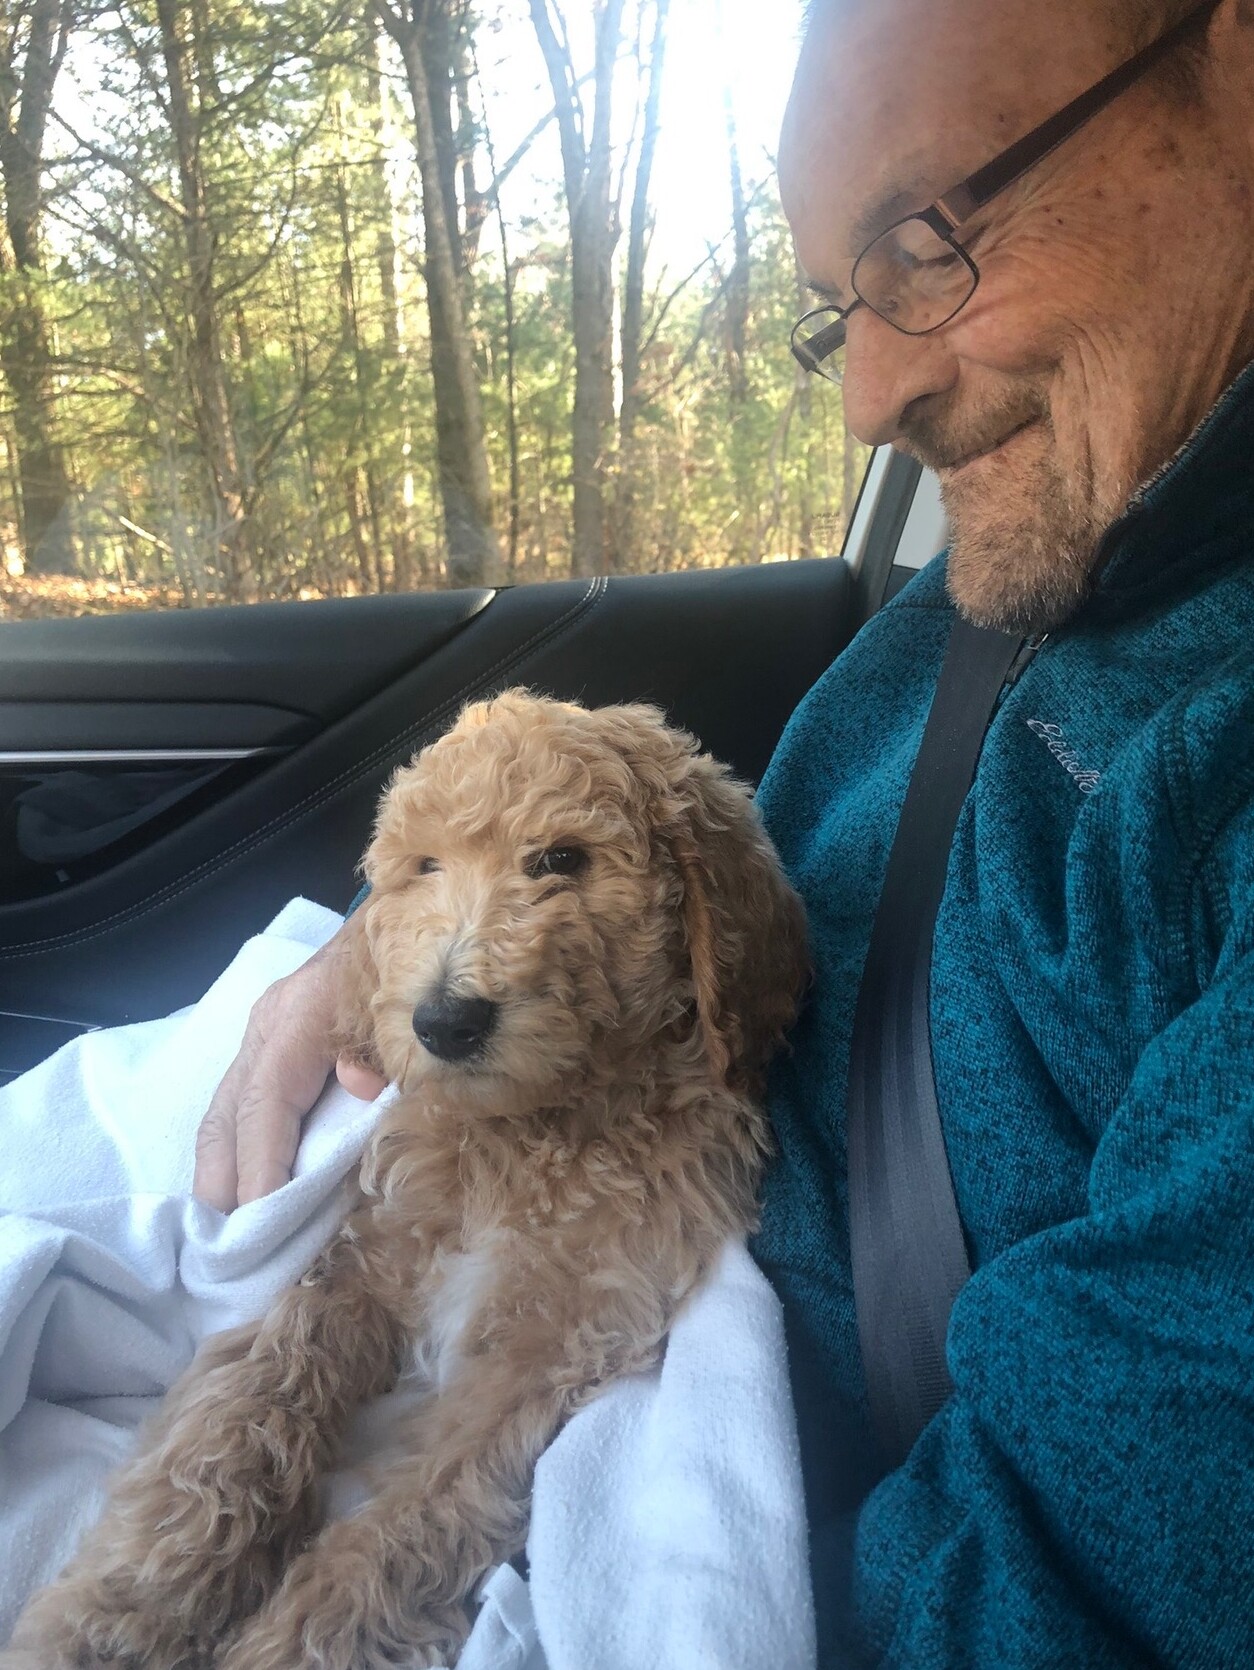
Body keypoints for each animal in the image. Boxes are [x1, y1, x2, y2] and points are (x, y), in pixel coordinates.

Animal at [5, 690, 809, 1670]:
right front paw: (118, 1611)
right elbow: (243, 1416)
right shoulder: (359, 1259)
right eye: (425, 868)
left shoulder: (550, 1342)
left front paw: (294, 1643)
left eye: (563, 860)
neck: (537, 1131)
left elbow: (417, 1514)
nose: (444, 1022)